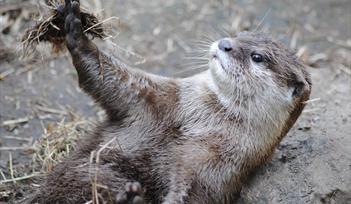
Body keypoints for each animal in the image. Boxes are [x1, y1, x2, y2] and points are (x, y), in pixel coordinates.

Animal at [28, 0, 314, 203]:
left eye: (257, 57)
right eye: (239, 33)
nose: (225, 43)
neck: (197, 123)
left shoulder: (215, 168)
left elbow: (193, 194)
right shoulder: (155, 98)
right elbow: (107, 77)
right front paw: (75, 27)